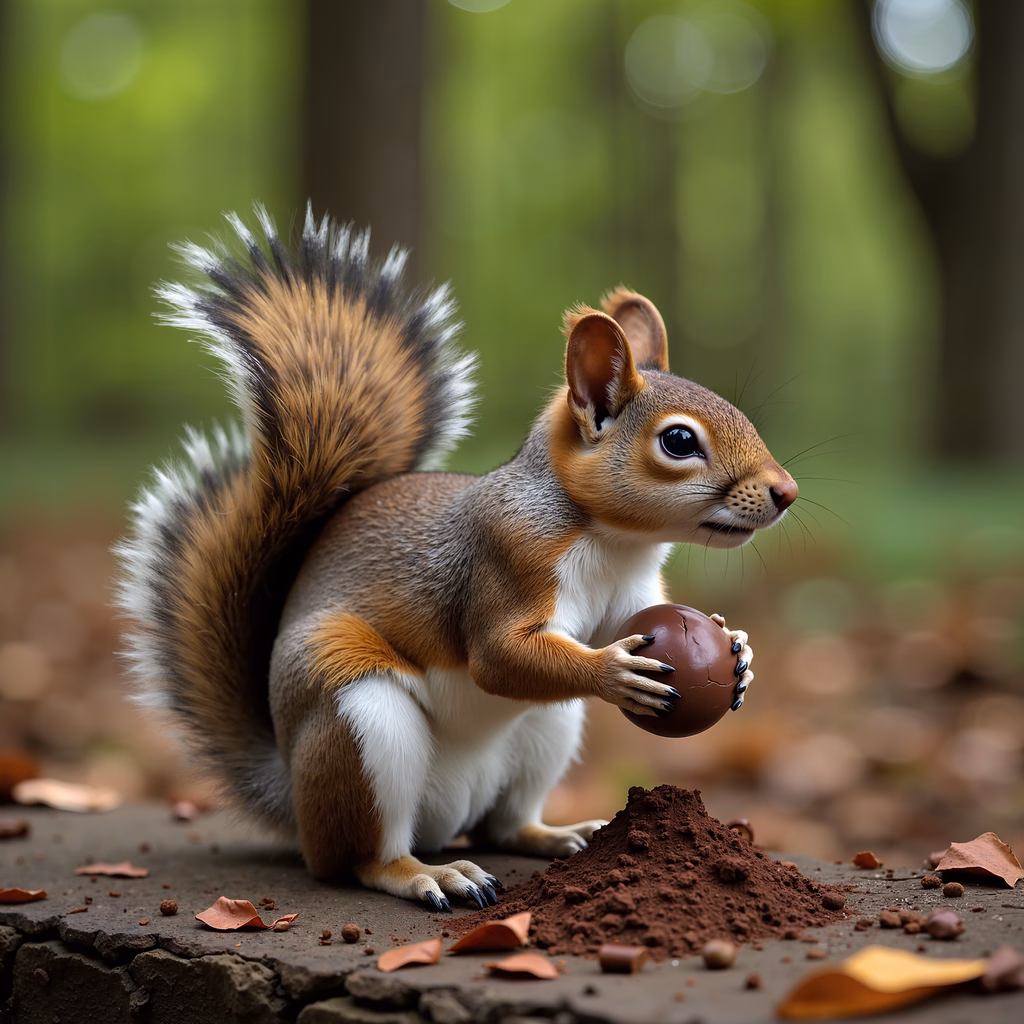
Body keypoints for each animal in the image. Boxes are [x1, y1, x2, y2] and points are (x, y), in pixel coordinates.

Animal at [115, 205, 798, 910]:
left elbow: (614, 628)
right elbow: (499, 656)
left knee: (503, 825)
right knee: (362, 857)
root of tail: (294, 801)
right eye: (679, 441)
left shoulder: (629, 601)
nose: (788, 493)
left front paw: (738, 648)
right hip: (364, 725)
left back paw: (556, 834)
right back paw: (428, 874)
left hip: (547, 731)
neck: (613, 540)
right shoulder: (507, 557)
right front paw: (612, 672)